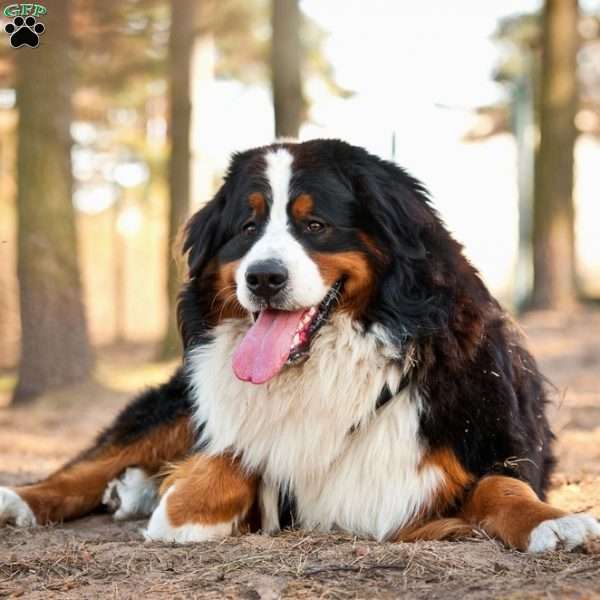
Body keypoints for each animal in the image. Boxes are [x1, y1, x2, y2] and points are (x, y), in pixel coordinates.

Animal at [1, 138, 600, 552]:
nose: (263, 278)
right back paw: (27, 499)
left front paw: (553, 522)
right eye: (247, 226)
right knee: (97, 460)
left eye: (315, 225)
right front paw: (184, 500)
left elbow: (501, 486)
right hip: (175, 400)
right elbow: (231, 457)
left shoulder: (494, 438)